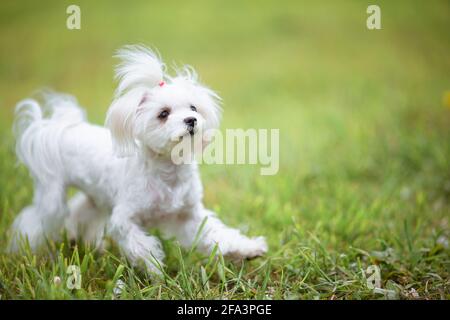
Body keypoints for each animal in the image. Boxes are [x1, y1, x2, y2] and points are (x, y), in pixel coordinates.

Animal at [9, 45, 268, 276]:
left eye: (193, 107)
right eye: (163, 114)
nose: (191, 120)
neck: (167, 172)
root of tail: (59, 128)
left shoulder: (189, 215)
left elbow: (218, 234)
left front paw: (247, 249)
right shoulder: (124, 219)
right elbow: (141, 246)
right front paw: (155, 270)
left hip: (97, 197)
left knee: (81, 213)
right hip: (52, 195)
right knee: (35, 219)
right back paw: (22, 251)